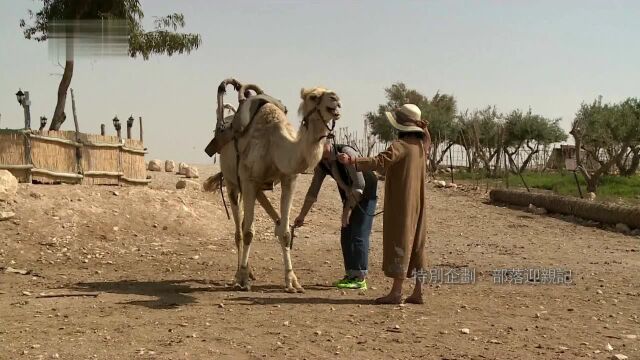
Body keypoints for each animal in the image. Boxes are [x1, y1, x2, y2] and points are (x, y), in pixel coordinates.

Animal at [214, 81, 340, 292]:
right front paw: (243, 279)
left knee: (256, 218)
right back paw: (239, 274)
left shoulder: (289, 178)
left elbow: (286, 232)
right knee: (239, 231)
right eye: (313, 97)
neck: (276, 145)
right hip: (232, 182)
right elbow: (249, 232)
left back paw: (250, 270)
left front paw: (292, 281)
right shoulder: (248, 179)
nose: (336, 100)